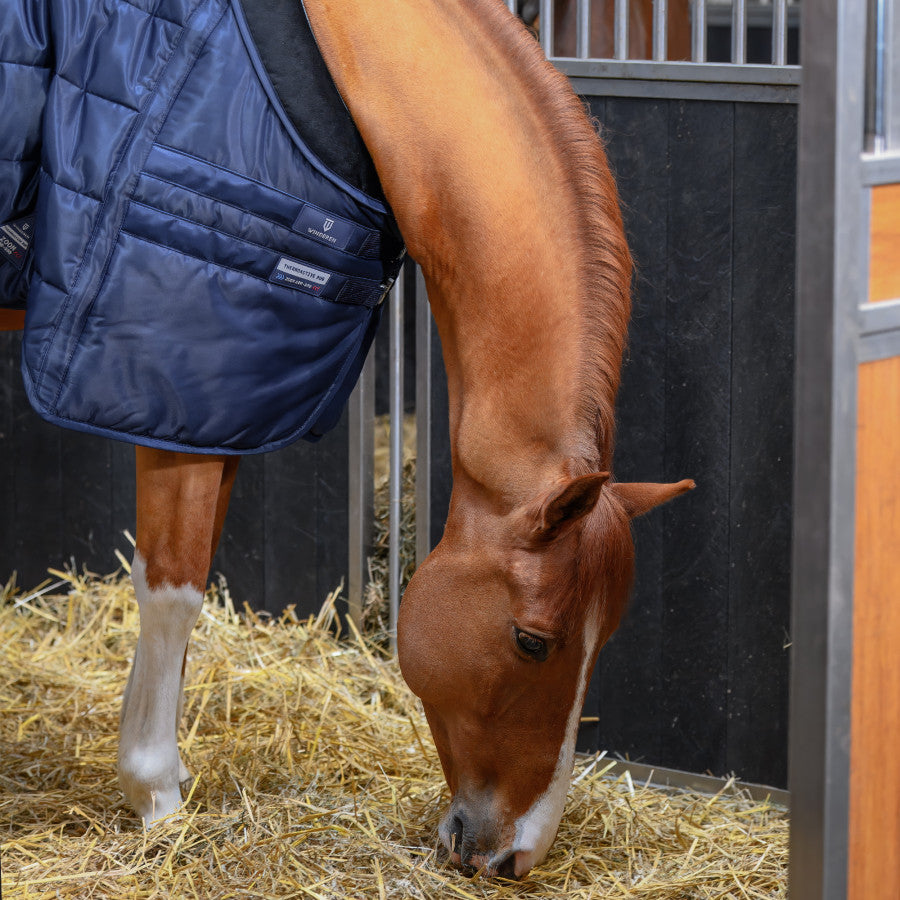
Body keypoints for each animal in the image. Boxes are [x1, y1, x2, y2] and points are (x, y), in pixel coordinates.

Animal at [2, 0, 692, 881]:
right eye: (534, 642)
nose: (513, 858)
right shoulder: (169, 382)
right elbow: (172, 591)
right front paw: (157, 800)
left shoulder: (225, 405)